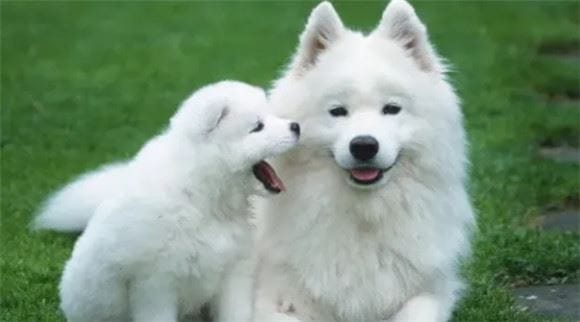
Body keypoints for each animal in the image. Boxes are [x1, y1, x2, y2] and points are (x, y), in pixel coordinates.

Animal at [40, 82, 300, 322]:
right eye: (257, 127)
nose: (296, 126)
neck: (202, 198)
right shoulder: (156, 284)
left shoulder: (233, 271)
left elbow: (236, 314)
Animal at [253, 0, 476, 322]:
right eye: (337, 111)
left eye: (392, 108)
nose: (364, 146)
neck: (364, 215)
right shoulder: (273, 298)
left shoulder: (430, 292)